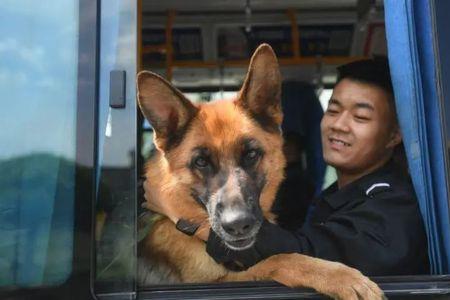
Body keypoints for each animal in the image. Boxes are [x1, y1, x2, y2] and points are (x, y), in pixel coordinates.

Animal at [136, 43, 384, 298]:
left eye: (251, 154)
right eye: (201, 162)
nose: (237, 224)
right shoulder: (221, 279)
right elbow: (281, 259)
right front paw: (342, 276)